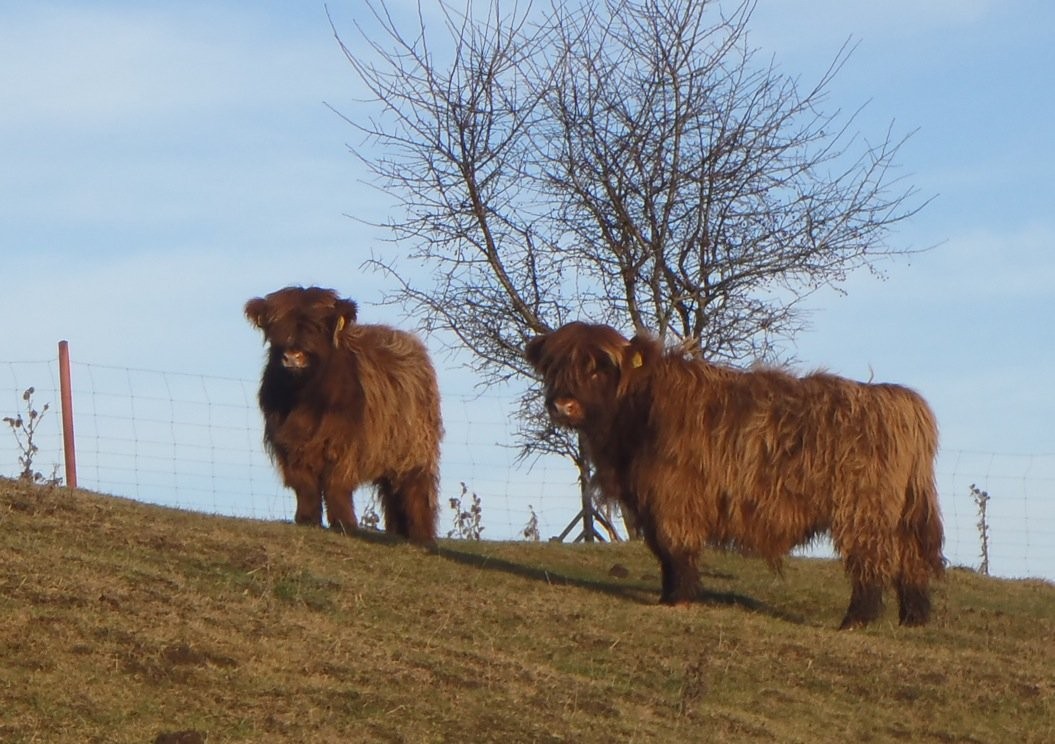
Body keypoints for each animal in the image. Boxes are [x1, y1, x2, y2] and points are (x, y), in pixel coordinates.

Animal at [245, 286, 441, 545]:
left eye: (319, 326)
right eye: (275, 325)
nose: (293, 357)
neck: (305, 402)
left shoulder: (346, 444)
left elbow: (336, 483)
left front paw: (344, 523)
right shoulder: (289, 445)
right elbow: (304, 484)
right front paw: (307, 519)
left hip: (416, 449)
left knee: (415, 489)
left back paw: (421, 537)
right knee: (392, 492)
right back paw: (398, 533)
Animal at [526, 321, 944, 628]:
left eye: (599, 368)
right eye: (554, 366)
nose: (562, 405)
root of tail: (898, 399)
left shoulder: (673, 495)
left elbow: (676, 548)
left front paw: (680, 598)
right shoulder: (646, 500)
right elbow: (662, 551)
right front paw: (667, 595)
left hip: (863, 509)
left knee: (873, 559)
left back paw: (857, 619)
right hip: (903, 510)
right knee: (911, 557)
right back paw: (913, 618)